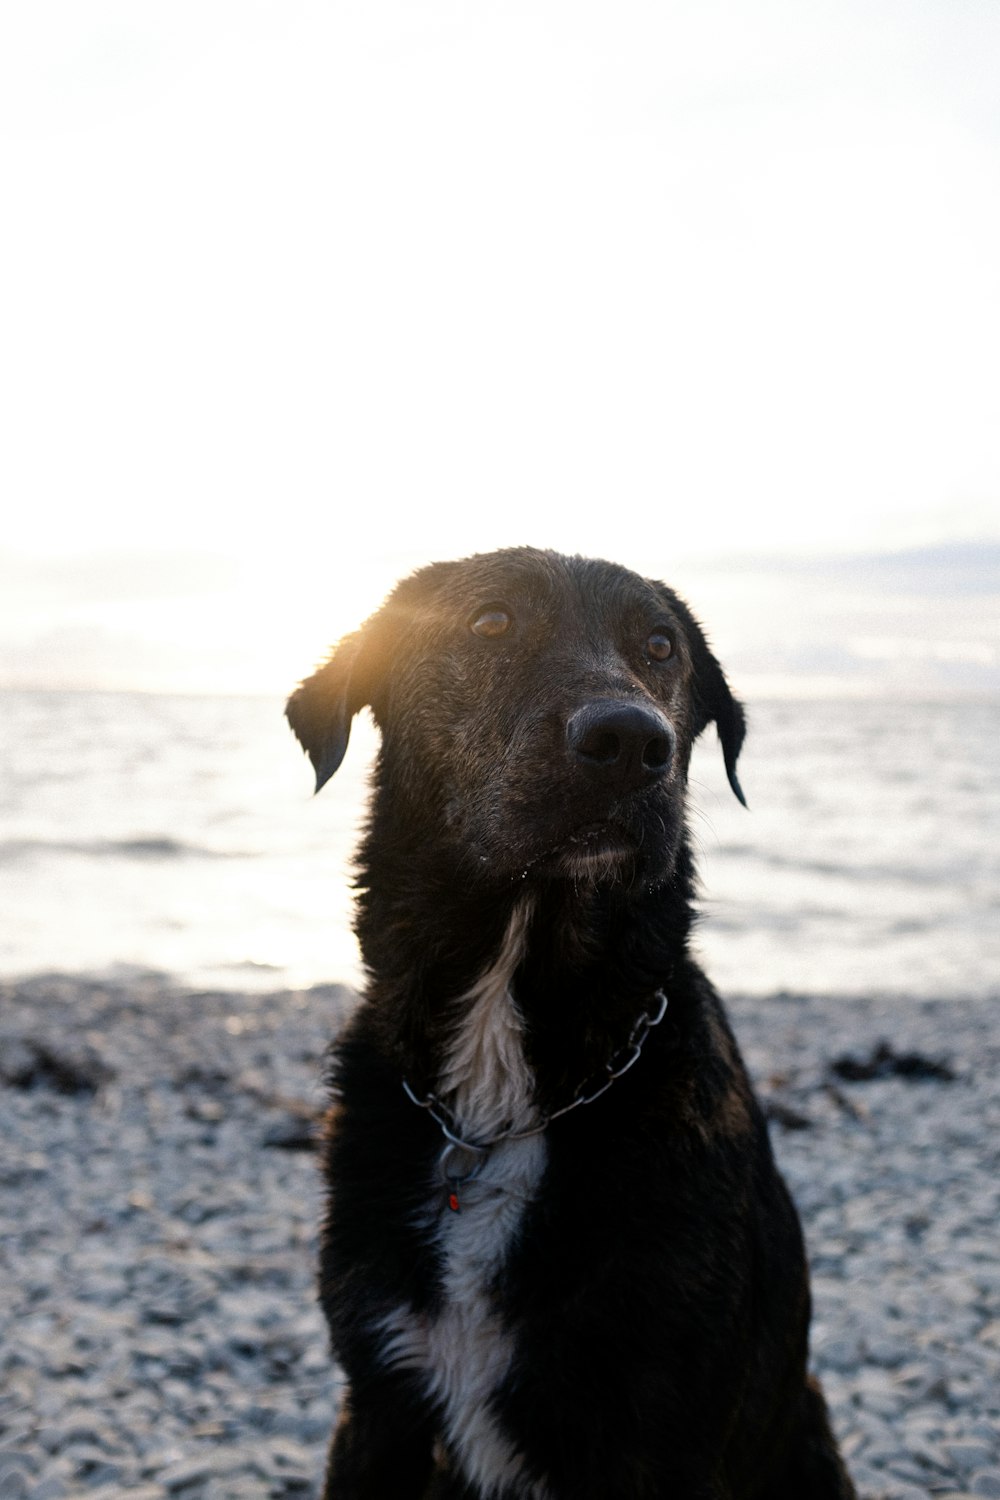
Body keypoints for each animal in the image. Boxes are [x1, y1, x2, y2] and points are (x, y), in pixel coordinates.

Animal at [284, 552, 857, 1500]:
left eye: (660, 647)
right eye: (490, 622)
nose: (630, 743)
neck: (503, 1096)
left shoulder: (659, 1427)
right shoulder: (378, 1407)